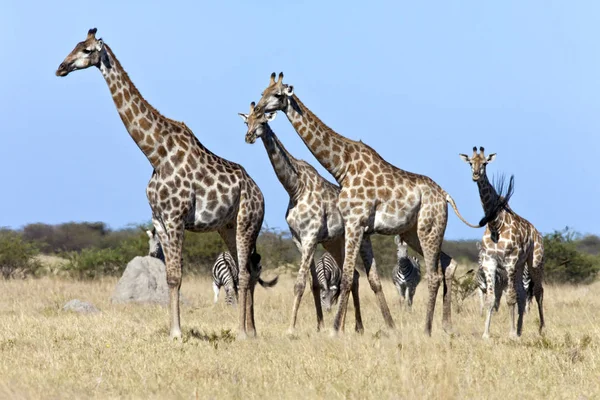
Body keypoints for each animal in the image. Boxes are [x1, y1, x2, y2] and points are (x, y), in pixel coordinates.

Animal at [57, 28, 266, 340]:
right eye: (75, 45)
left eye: (87, 50)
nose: (61, 67)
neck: (156, 153)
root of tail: (260, 193)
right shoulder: (159, 220)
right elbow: (169, 277)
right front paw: (172, 331)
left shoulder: (176, 217)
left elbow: (178, 276)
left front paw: (178, 333)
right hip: (226, 227)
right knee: (248, 270)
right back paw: (251, 331)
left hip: (247, 223)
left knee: (243, 273)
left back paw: (242, 333)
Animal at [238, 101, 384, 332]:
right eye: (247, 121)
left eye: (262, 121)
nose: (249, 136)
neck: (295, 188)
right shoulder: (300, 239)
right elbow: (314, 284)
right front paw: (320, 327)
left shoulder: (310, 237)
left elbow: (299, 284)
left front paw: (291, 328)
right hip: (334, 242)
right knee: (354, 276)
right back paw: (349, 326)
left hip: (356, 239)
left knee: (354, 276)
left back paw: (352, 326)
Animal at [254, 72, 488, 334]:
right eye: (262, 91)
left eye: (277, 94)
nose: (259, 109)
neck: (342, 166)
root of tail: (445, 196)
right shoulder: (357, 227)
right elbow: (368, 279)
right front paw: (379, 327)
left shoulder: (355, 223)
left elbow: (347, 278)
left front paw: (335, 329)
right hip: (414, 232)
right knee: (448, 263)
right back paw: (446, 326)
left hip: (429, 229)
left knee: (434, 275)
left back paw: (427, 329)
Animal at [460, 147, 544, 338]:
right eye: (470, 163)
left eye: (485, 163)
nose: (475, 175)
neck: (495, 223)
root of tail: (537, 233)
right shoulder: (489, 262)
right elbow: (491, 299)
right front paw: (486, 334)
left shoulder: (510, 262)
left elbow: (510, 297)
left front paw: (511, 334)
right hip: (521, 266)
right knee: (522, 293)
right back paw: (520, 330)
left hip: (535, 262)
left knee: (538, 291)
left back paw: (541, 329)